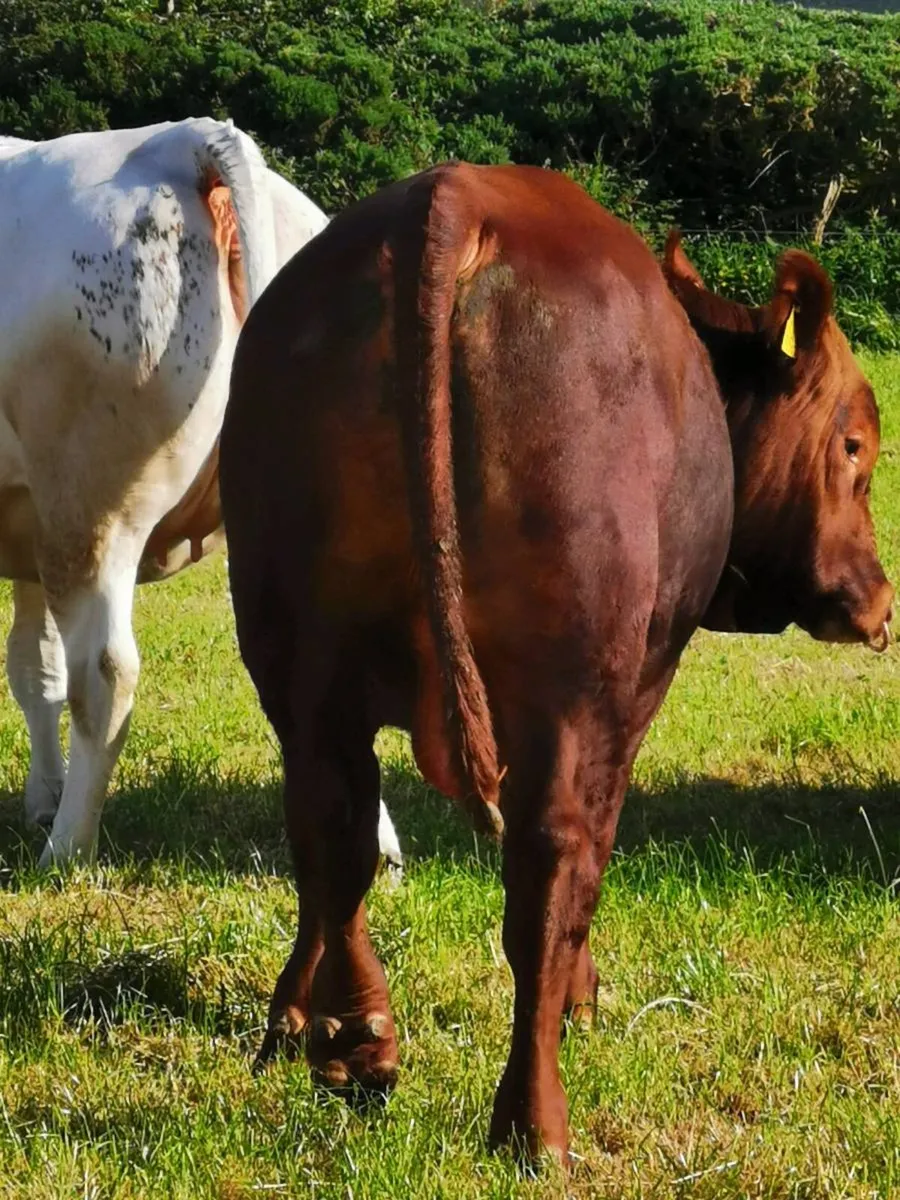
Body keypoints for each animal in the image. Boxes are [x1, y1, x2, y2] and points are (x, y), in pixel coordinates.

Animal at [0, 117, 403, 872]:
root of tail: (174, 139)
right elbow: (33, 669)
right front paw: (41, 797)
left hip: (89, 502)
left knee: (103, 673)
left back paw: (66, 851)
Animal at [219, 162, 892, 1164]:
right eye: (855, 444)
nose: (880, 600)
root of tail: (454, 199)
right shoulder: (638, 686)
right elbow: (592, 866)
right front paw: (582, 996)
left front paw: (288, 1024)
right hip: (571, 684)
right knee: (547, 863)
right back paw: (534, 1124)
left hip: (301, 656)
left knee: (329, 825)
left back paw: (355, 1043)